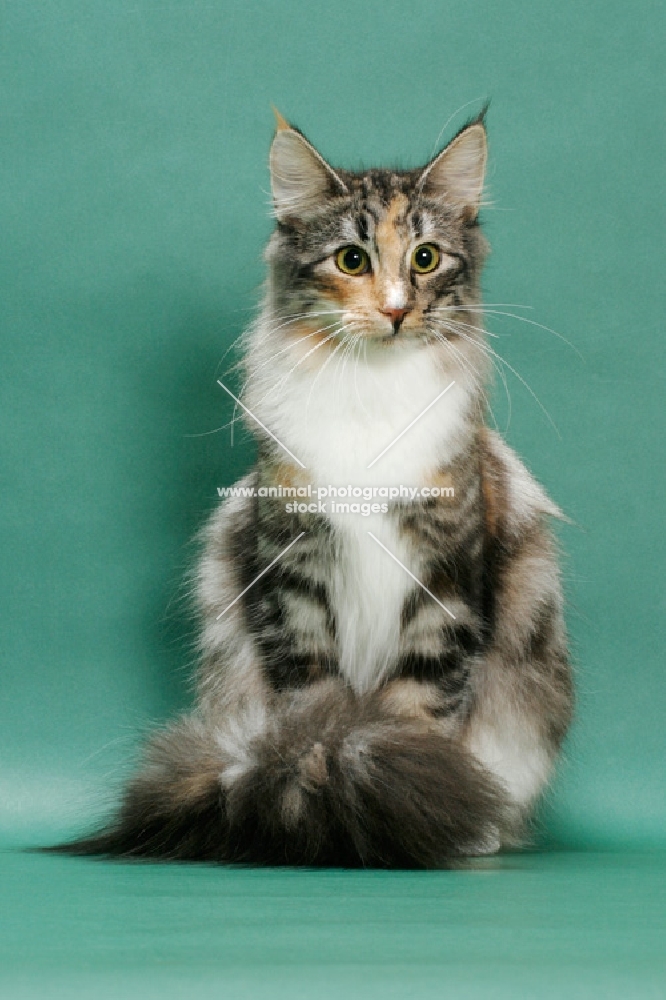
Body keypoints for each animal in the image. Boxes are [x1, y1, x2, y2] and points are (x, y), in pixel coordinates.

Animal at [55, 109, 572, 868]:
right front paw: (332, 790)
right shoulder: (291, 570)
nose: (396, 311)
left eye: (425, 258)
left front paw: (418, 803)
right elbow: (315, 709)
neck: (371, 394)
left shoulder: (446, 579)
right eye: (351, 260)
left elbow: (421, 710)